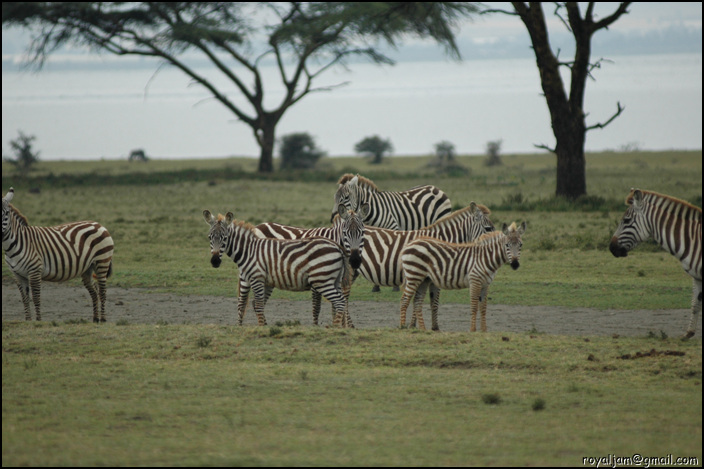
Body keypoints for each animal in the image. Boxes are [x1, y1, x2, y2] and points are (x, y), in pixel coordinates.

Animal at [2, 186, 114, 322]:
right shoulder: (17, 275)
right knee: (94, 291)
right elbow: (25, 299)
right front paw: (28, 321)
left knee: (102, 291)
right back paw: (95, 319)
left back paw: (103, 319)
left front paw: (38, 321)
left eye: (6, 213)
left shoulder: (34, 271)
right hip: (88, 268)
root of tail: (98, 224)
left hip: (102, 261)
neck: (16, 243)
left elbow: (36, 298)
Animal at [204, 210, 352, 328]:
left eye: (225, 238)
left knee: (339, 302)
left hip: (322, 280)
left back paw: (335, 328)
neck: (249, 250)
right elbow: (251, 305)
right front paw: (255, 326)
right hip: (334, 280)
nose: (215, 261)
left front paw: (261, 328)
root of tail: (337, 247)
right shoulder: (260, 280)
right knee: (341, 302)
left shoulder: (257, 278)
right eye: (209, 237)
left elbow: (258, 305)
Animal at [608, 188, 700, 338]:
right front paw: (689, 333)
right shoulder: (697, 277)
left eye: (626, 220)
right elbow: (695, 304)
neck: (692, 239)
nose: (611, 247)